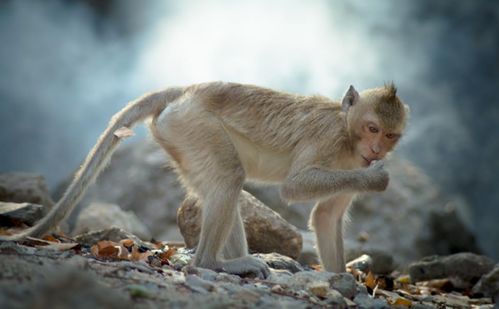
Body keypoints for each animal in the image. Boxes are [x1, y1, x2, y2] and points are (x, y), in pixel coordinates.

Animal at [0, 81, 408, 276]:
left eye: (390, 135)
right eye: (371, 128)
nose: (377, 150)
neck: (347, 133)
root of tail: (187, 90)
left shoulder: (349, 161)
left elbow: (326, 216)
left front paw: (341, 281)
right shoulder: (327, 140)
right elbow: (294, 187)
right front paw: (377, 180)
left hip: (179, 136)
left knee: (221, 185)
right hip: (194, 124)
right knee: (229, 178)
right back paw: (212, 264)